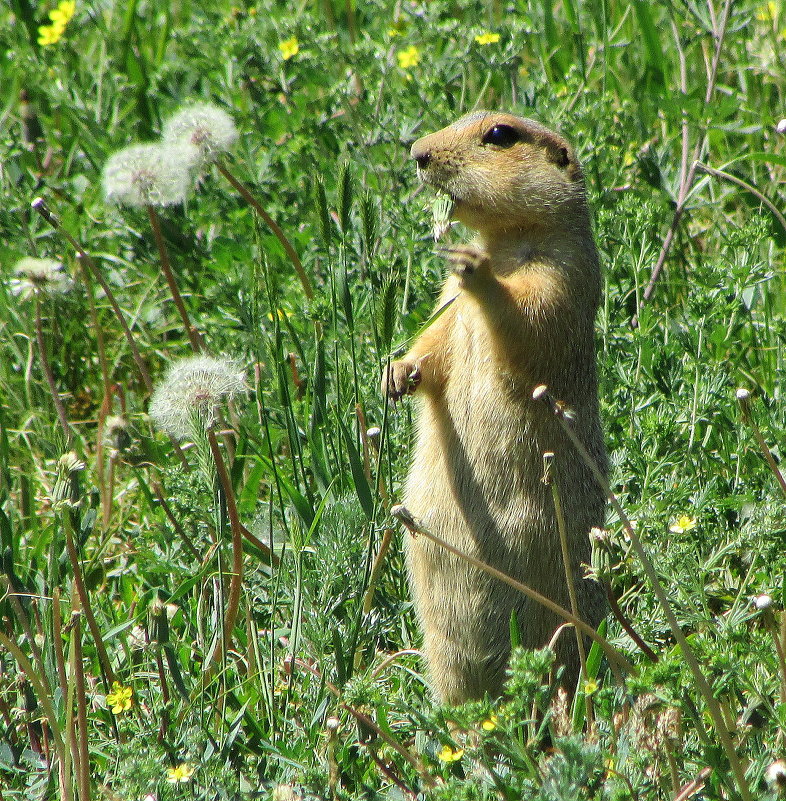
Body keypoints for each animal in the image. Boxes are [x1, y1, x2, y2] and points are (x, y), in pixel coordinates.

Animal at [382, 111, 604, 700]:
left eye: (500, 135)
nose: (417, 153)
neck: (507, 241)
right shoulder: (446, 303)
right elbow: (434, 346)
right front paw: (397, 374)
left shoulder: (559, 274)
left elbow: (529, 319)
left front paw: (474, 267)